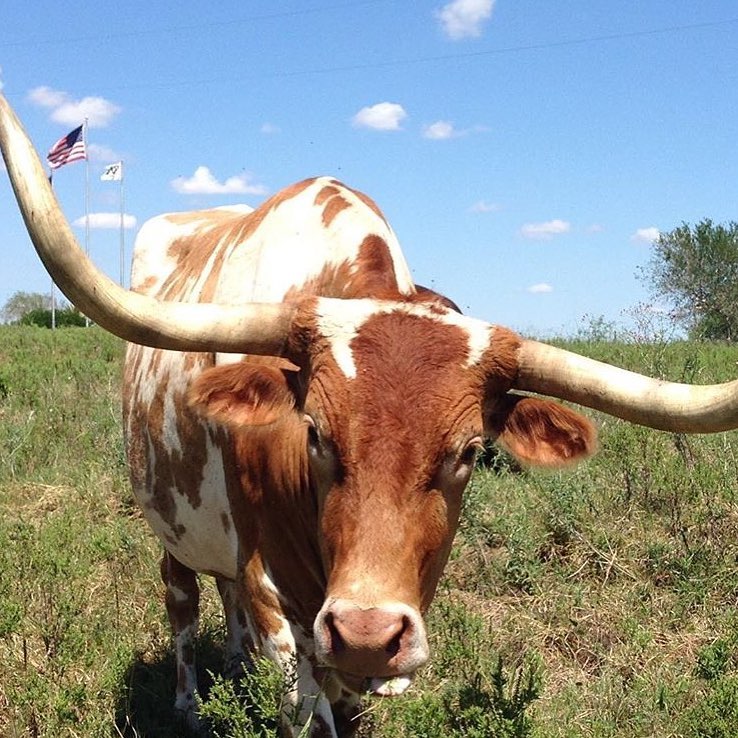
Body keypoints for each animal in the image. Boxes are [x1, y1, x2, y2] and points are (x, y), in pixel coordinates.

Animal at [3, 93, 738, 737]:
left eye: (471, 452)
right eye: (316, 434)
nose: (364, 630)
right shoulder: (276, 598)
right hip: (170, 526)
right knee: (182, 600)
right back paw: (189, 703)